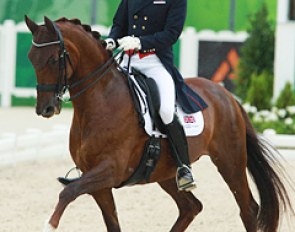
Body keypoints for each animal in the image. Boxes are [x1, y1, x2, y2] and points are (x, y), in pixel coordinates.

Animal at [25, 16, 294, 232]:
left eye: (53, 59)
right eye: (30, 58)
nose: (45, 109)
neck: (101, 100)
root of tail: (227, 95)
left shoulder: (110, 170)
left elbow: (67, 192)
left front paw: (48, 225)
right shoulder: (98, 182)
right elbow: (110, 222)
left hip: (230, 161)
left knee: (247, 208)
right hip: (166, 171)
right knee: (191, 207)